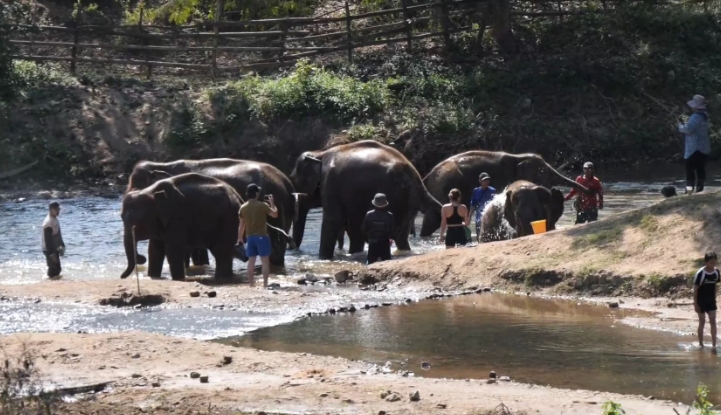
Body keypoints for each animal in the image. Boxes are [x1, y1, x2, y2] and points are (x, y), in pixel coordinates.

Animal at [128, 158, 296, 268]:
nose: (141, 259)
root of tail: (287, 182)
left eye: (138, 190)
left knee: (275, 244)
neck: (162, 164)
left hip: (277, 206)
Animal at [290, 140, 442, 258]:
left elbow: (333, 219)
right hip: (406, 204)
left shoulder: (330, 182)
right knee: (400, 237)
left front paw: (324, 258)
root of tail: (417, 180)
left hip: (392, 195)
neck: (319, 153)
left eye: (296, 183)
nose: (294, 251)